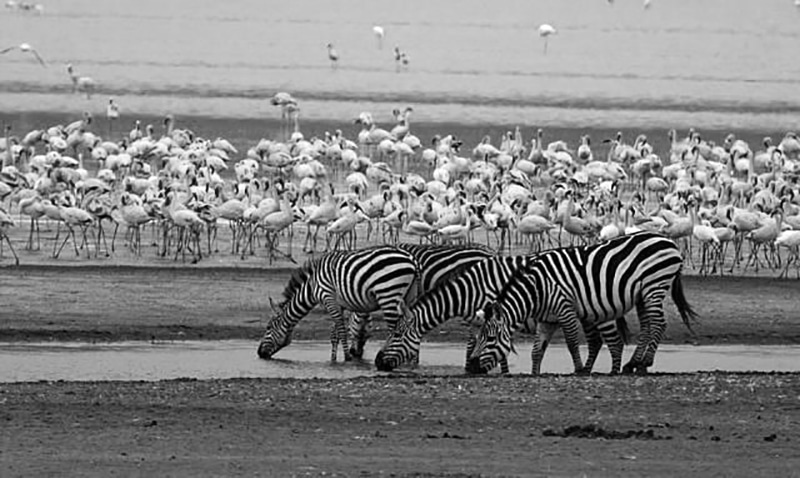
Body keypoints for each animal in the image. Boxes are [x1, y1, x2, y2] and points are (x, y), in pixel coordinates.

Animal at [258, 246, 422, 362]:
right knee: (410, 325)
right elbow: (334, 333)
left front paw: (347, 357)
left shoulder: (328, 297)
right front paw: (333, 359)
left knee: (394, 329)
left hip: (388, 294)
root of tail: (412, 259)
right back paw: (412, 360)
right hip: (408, 297)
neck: (312, 286)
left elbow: (342, 331)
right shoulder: (338, 304)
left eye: (268, 327)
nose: (259, 353)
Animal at [374, 254, 536, 374]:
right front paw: (469, 368)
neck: (471, 292)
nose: (377, 362)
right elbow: (472, 346)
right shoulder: (475, 322)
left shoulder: (497, 320)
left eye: (396, 335)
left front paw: (503, 372)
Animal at [466, 230, 696, 376]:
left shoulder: (564, 308)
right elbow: (537, 350)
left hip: (654, 286)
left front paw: (578, 369)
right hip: (642, 294)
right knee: (647, 325)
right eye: (479, 337)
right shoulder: (547, 319)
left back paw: (646, 361)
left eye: (491, 338)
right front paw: (535, 373)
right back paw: (634, 363)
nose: (473, 368)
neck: (537, 289)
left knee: (659, 324)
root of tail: (668, 240)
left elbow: (571, 342)